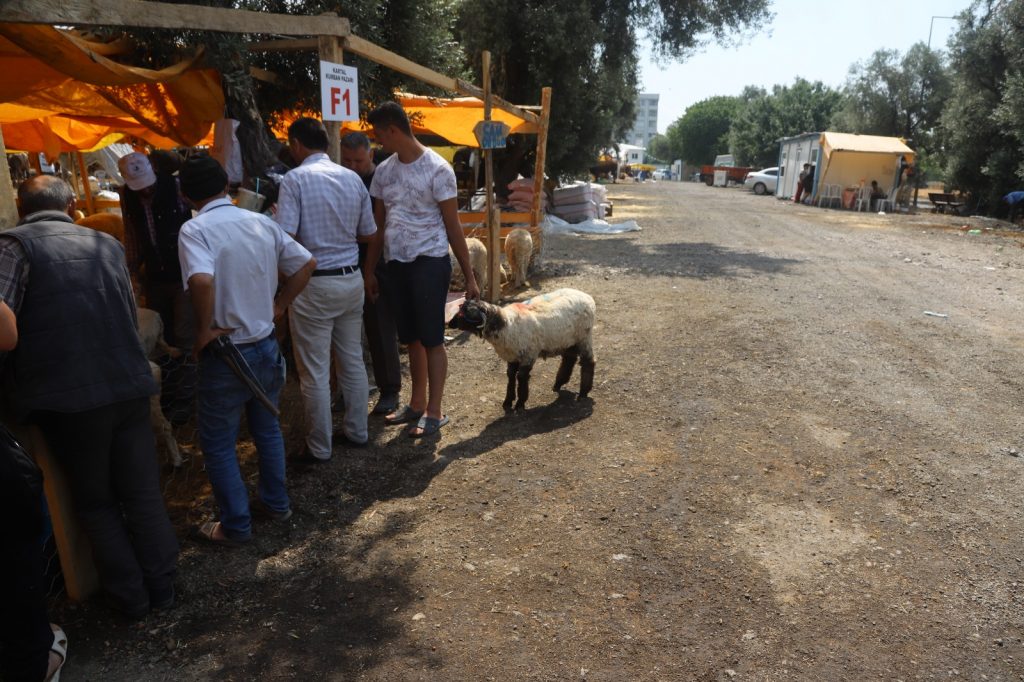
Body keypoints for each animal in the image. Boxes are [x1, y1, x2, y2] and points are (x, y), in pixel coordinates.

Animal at [452, 286, 598, 409]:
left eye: (464, 314)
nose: (450, 323)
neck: (506, 323)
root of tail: (587, 297)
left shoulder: (529, 354)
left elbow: (521, 377)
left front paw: (520, 404)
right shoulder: (512, 356)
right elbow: (511, 375)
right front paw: (508, 401)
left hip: (584, 337)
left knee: (588, 362)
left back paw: (583, 392)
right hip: (568, 339)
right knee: (569, 359)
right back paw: (558, 384)